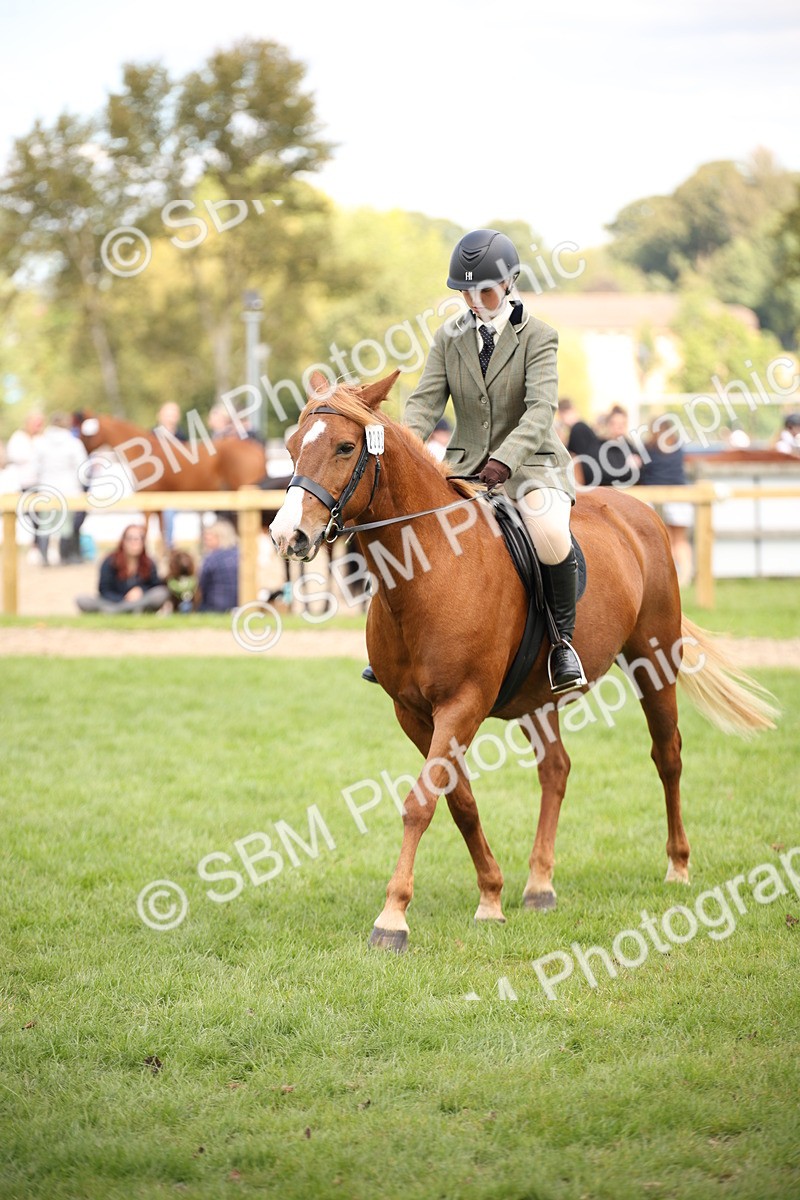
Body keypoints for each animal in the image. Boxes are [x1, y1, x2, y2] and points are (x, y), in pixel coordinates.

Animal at [270, 370, 779, 953]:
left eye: (345, 447)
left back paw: (677, 866)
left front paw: (392, 916)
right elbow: (458, 799)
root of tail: (635, 510)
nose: (288, 536)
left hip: (654, 662)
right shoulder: (414, 713)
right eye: (292, 447)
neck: (428, 568)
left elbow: (421, 802)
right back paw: (539, 885)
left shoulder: (462, 704)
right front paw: (490, 896)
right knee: (556, 770)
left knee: (666, 755)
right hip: (540, 698)